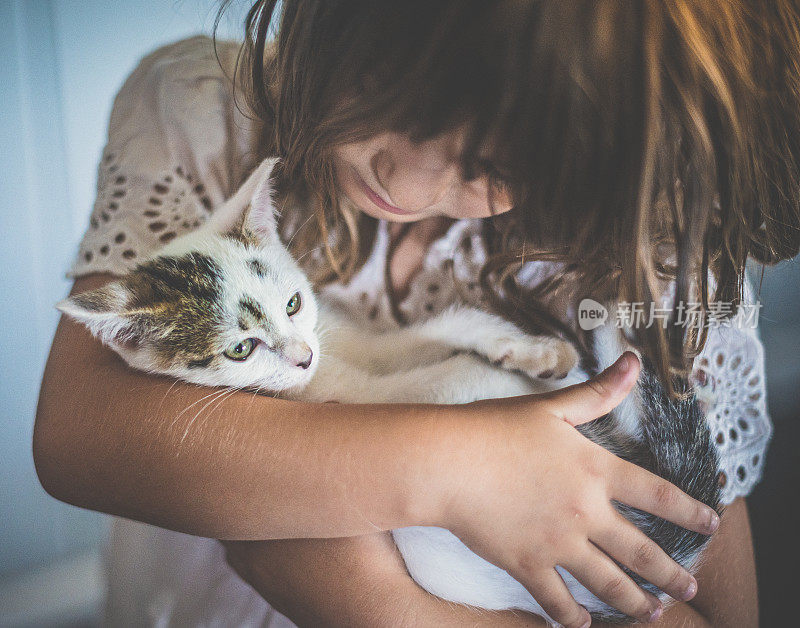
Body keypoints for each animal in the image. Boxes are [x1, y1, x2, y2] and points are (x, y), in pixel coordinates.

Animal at [56, 159, 720, 624]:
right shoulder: (351, 393)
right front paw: (530, 359)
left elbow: (436, 328)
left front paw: (531, 347)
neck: (331, 367)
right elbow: (418, 374)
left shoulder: (346, 338)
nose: (302, 357)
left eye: (292, 303)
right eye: (241, 349)